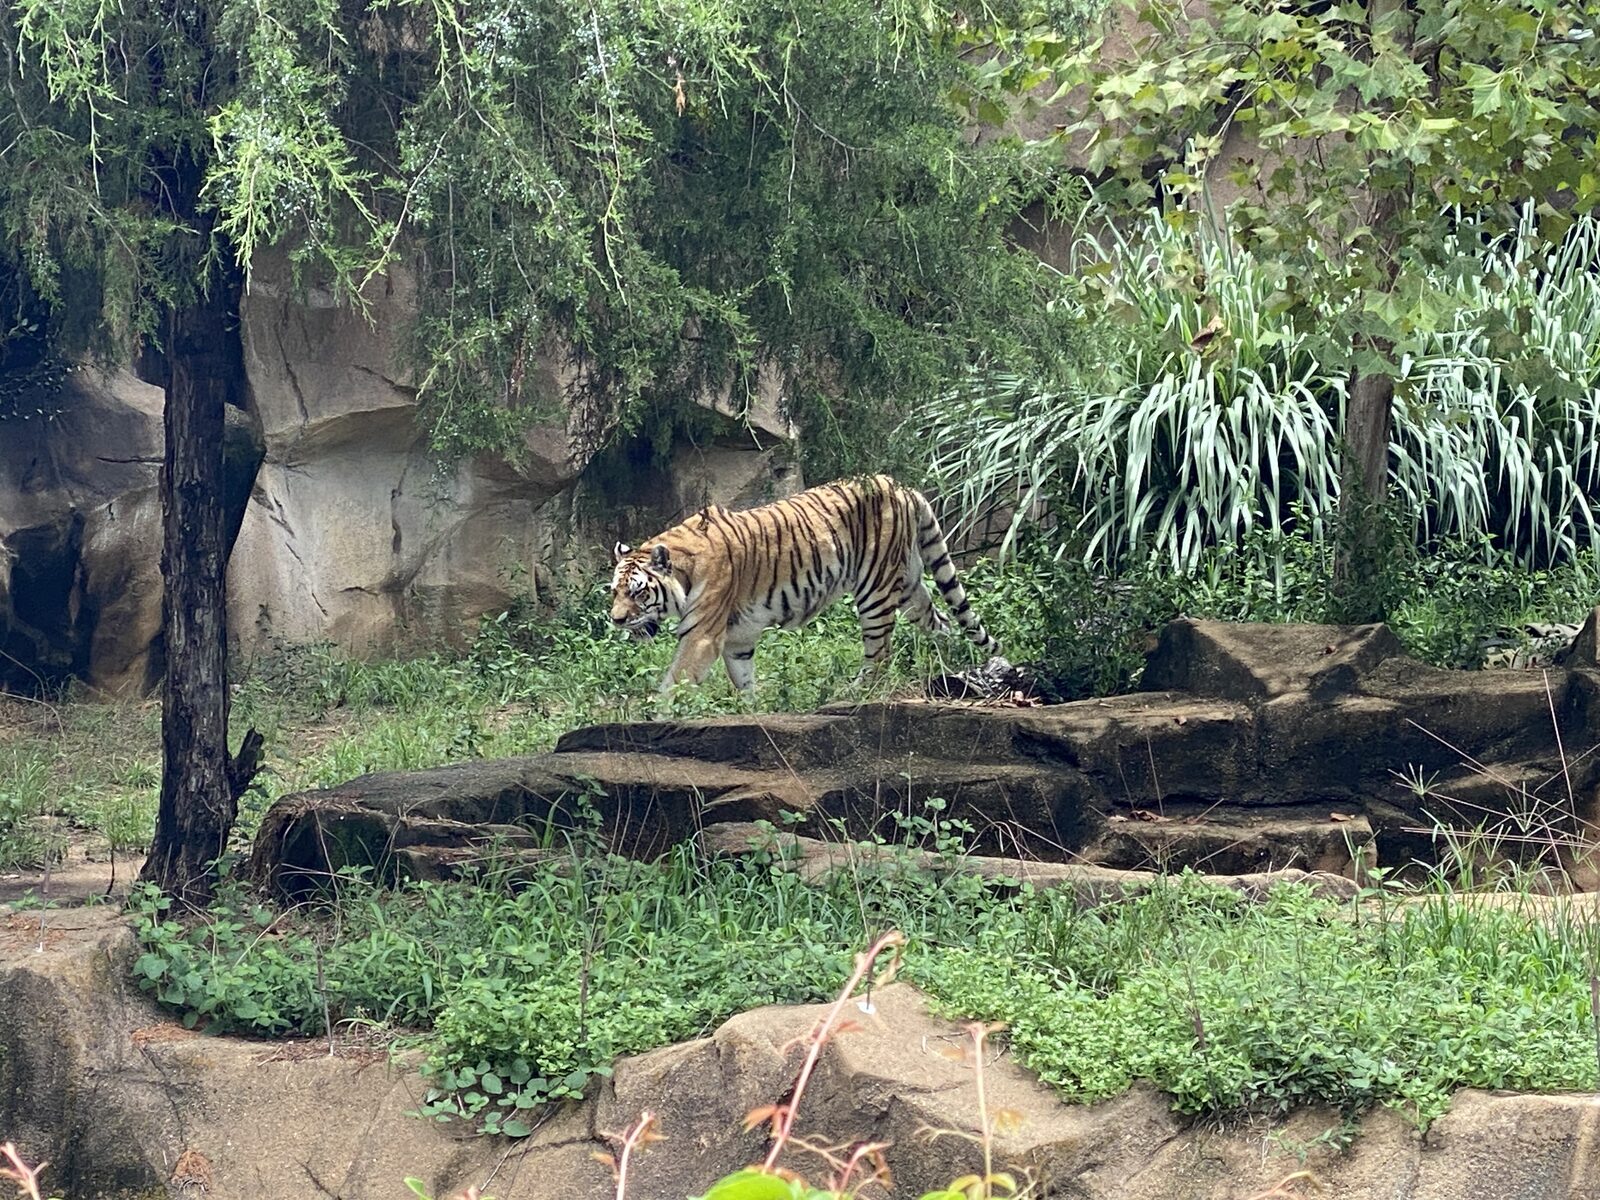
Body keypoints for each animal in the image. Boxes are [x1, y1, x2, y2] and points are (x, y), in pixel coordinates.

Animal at [609, 474, 1001, 692]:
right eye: (614, 591)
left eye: (638, 592)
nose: (616, 619)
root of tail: (902, 486)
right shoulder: (738, 640)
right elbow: (744, 682)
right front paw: (753, 712)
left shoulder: (702, 636)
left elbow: (673, 682)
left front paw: (653, 715)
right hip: (908, 585)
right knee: (942, 622)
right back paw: (951, 664)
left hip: (875, 589)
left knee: (879, 654)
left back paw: (853, 692)